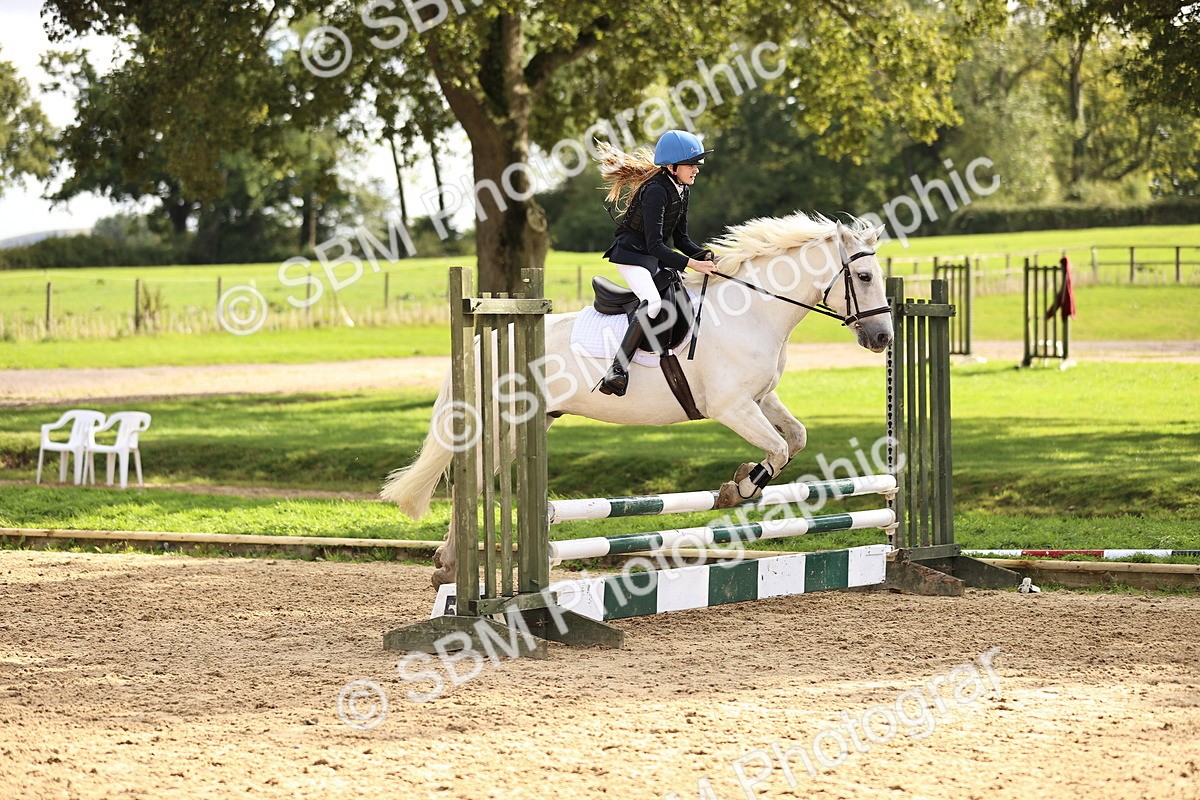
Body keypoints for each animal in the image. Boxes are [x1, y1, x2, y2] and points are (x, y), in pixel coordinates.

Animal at [382, 213, 894, 587]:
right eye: (864, 275)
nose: (883, 338)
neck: (754, 311)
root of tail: (486, 337)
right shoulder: (732, 407)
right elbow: (780, 447)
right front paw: (741, 487)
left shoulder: (761, 398)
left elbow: (796, 438)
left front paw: (743, 480)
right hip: (499, 419)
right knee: (471, 476)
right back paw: (454, 568)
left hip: (529, 423)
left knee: (479, 479)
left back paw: (448, 565)